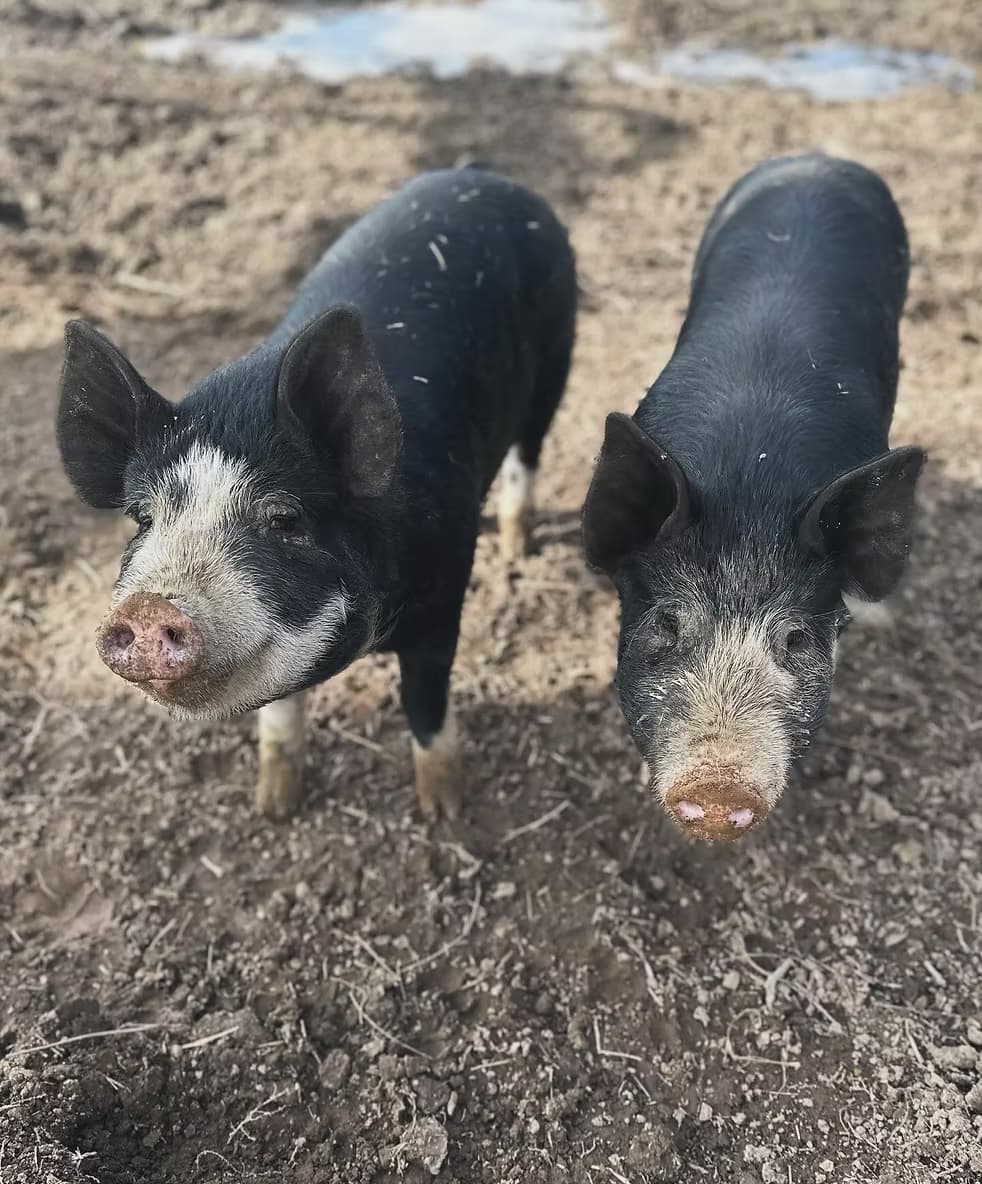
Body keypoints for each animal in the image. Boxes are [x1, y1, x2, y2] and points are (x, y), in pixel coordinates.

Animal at [57, 166, 576, 820]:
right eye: (142, 517)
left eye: (284, 517)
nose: (150, 607)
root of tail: (483, 176)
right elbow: (280, 708)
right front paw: (274, 806)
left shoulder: (446, 594)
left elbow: (425, 701)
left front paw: (444, 811)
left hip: (557, 358)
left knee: (528, 453)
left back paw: (515, 546)